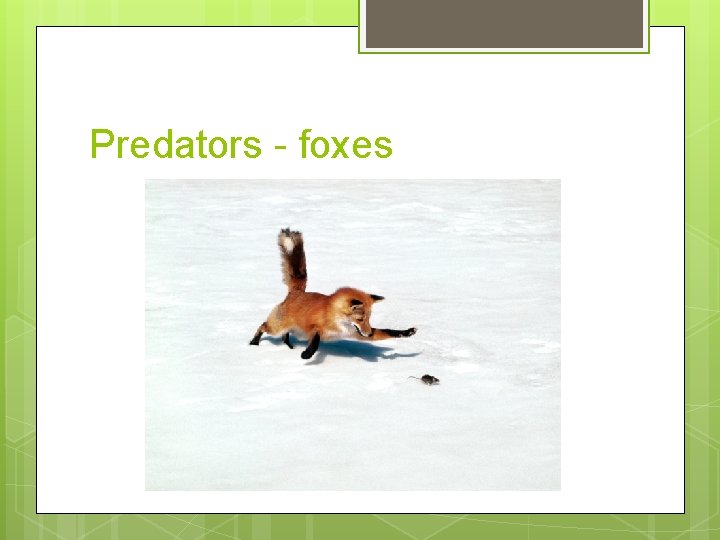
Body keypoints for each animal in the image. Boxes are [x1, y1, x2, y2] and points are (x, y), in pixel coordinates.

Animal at [249, 228, 417, 359]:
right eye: (360, 319)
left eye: (369, 319)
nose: (369, 334)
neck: (336, 319)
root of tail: (297, 292)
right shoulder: (315, 328)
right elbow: (316, 341)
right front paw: (307, 354)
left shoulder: (356, 333)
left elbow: (389, 332)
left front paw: (407, 332)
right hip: (276, 327)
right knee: (262, 326)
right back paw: (254, 342)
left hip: (290, 329)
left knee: (284, 336)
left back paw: (289, 347)